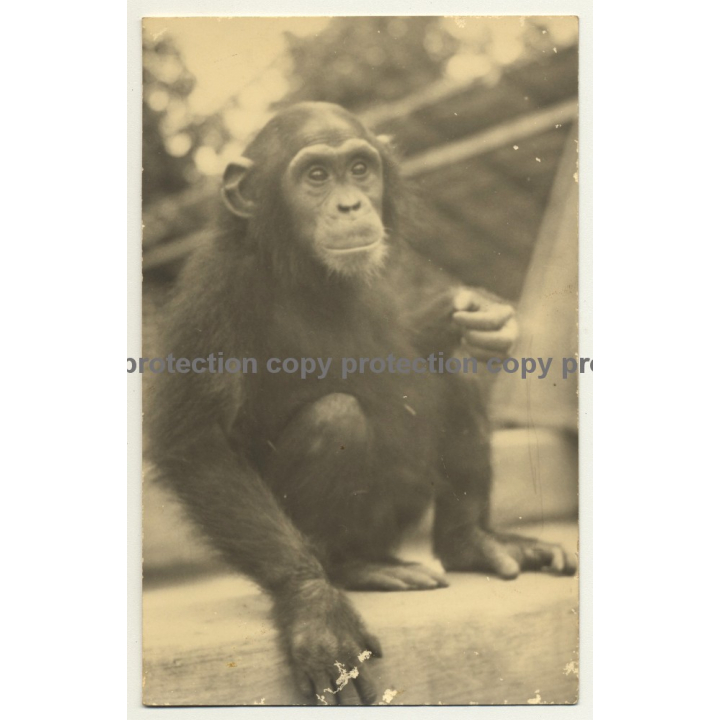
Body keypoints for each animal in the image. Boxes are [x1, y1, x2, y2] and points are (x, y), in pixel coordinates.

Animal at [145, 102, 576, 705]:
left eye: (359, 168)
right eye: (315, 176)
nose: (350, 204)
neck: (302, 268)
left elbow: (415, 345)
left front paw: (476, 311)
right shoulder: (214, 288)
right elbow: (198, 442)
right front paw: (315, 609)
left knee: (450, 373)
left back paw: (471, 543)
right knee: (337, 418)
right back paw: (355, 571)